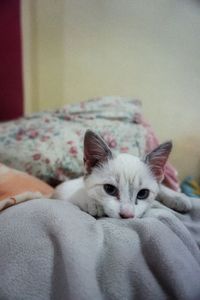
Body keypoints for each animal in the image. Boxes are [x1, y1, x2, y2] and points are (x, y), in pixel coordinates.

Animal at [54, 130, 191, 219]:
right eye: (109, 189)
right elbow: (73, 193)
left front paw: (177, 197)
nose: (127, 215)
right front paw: (93, 203)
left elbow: (160, 188)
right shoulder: (62, 190)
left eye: (143, 194)